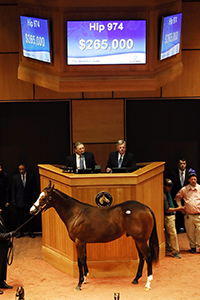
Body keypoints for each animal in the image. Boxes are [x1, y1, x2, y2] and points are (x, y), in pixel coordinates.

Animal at [29, 180, 159, 290]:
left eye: (43, 197)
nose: (31, 210)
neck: (76, 214)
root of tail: (147, 208)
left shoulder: (79, 242)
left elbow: (80, 260)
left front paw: (79, 284)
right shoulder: (83, 242)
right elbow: (84, 258)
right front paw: (85, 278)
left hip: (141, 240)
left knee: (147, 256)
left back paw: (148, 283)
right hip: (137, 239)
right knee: (142, 257)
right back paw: (136, 279)